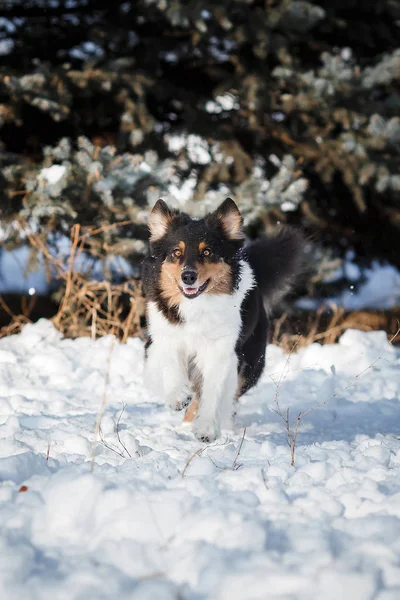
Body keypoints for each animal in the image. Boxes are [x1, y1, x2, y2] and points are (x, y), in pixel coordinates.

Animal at [142, 197, 304, 440]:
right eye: (176, 253)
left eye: (208, 252)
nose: (188, 276)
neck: (195, 306)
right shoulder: (160, 339)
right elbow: (169, 363)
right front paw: (178, 397)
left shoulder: (221, 352)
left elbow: (212, 391)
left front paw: (207, 429)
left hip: (251, 364)